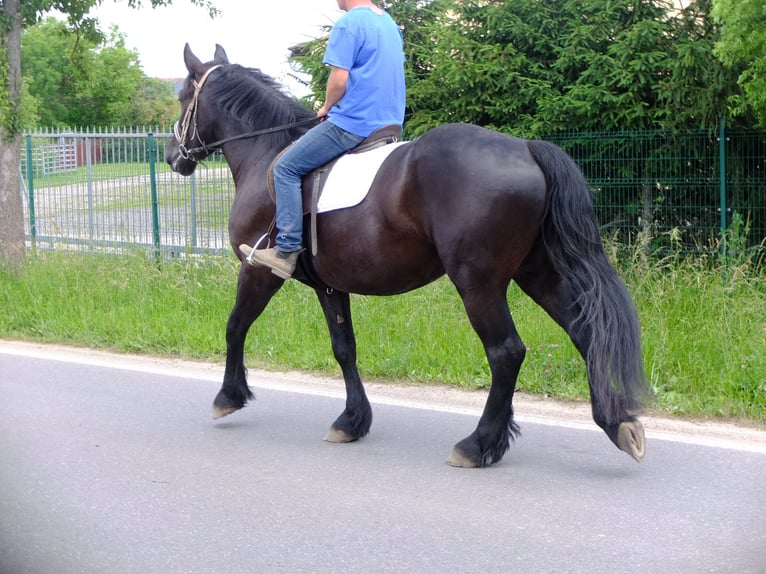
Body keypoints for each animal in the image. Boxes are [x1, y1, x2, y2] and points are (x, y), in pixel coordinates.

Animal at [165, 45, 652, 468]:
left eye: (184, 96)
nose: (173, 156)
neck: (268, 151)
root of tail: (525, 148)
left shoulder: (260, 271)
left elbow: (235, 326)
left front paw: (228, 397)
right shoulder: (330, 285)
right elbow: (344, 348)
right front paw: (352, 421)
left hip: (478, 281)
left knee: (506, 353)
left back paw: (478, 444)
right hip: (538, 272)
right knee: (583, 331)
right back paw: (617, 424)